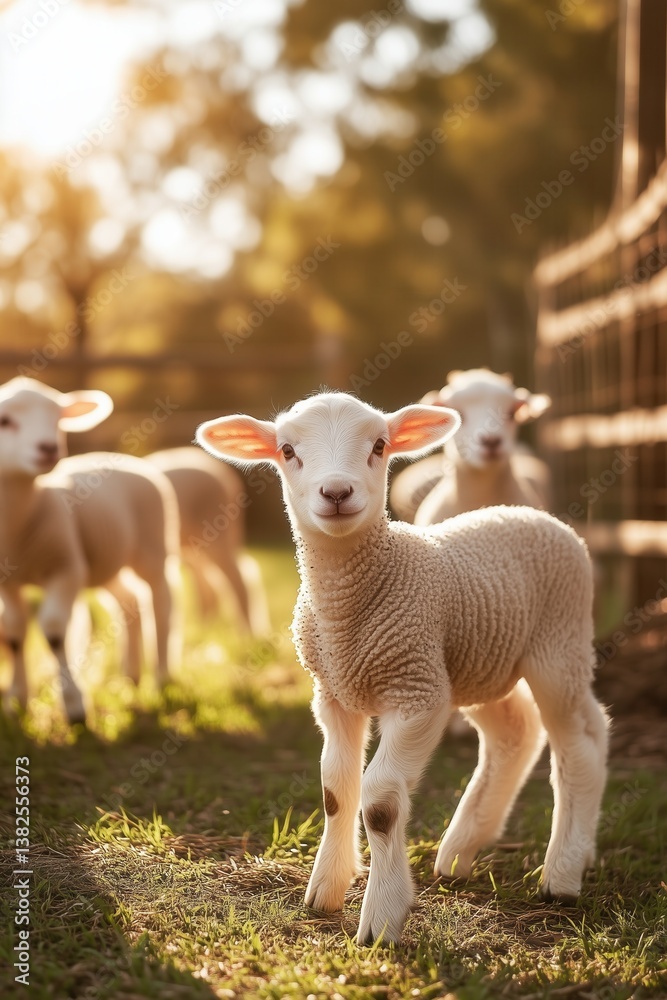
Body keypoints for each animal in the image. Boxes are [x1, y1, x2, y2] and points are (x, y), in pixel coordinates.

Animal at [0, 377, 180, 724]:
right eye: (5, 421)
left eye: (57, 419)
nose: (49, 448)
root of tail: (126, 458)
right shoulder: (7, 583)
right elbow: (14, 633)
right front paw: (17, 701)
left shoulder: (67, 568)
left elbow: (54, 632)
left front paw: (74, 708)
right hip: (109, 563)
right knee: (128, 601)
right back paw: (130, 677)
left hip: (153, 547)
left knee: (161, 602)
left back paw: (162, 677)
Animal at [146, 447, 270, 636]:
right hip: (193, 547)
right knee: (210, 584)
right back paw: (203, 631)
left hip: (219, 532)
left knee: (240, 577)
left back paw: (249, 635)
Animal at [196, 391, 609, 945]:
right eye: (286, 450)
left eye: (378, 445)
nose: (336, 492)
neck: (350, 611)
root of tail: (530, 512)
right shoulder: (334, 694)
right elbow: (334, 788)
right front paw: (325, 891)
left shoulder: (416, 692)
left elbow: (380, 802)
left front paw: (381, 920)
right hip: (477, 663)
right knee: (520, 732)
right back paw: (461, 854)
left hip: (558, 643)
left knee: (578, 744)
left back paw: (562, 874)